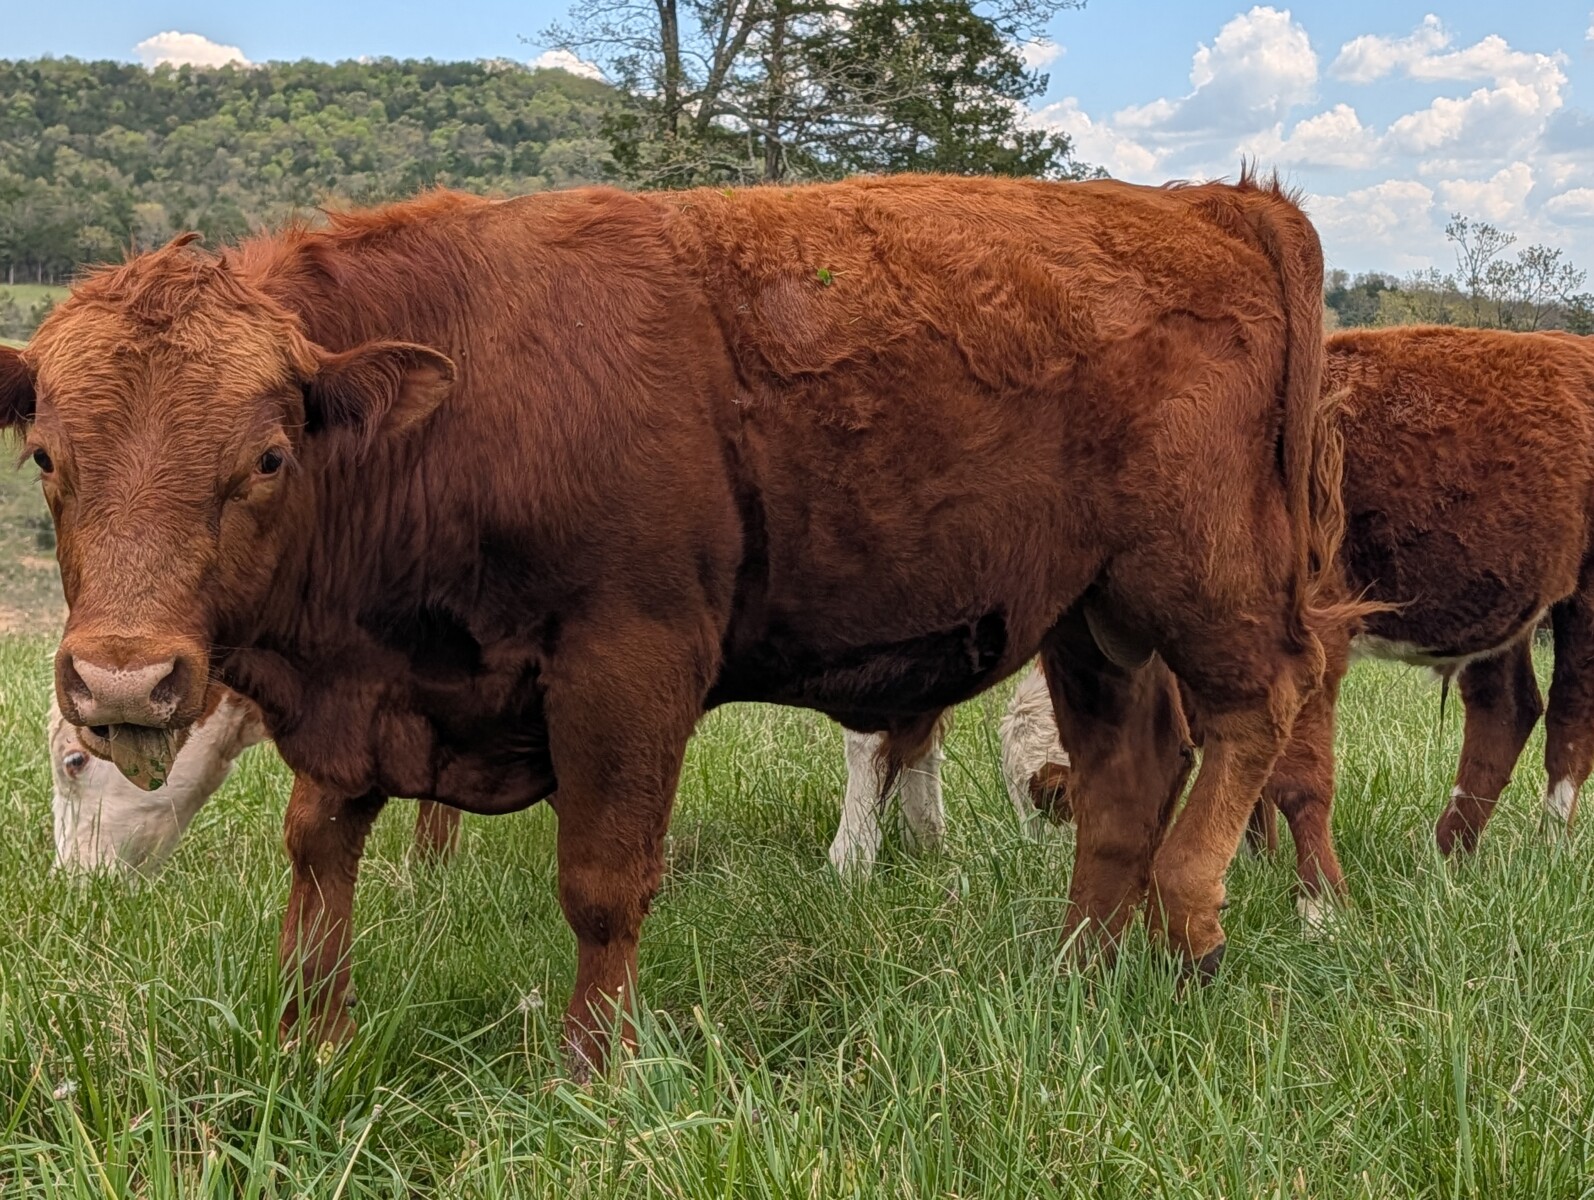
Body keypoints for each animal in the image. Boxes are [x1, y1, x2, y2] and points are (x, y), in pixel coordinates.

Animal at [0, 172, 1351, 1070]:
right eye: (48, 455)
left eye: (269, 457)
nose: (123, 686)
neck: (462, 399)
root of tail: (1209, 204)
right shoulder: (363, 696)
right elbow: (318, 862)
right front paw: (312, 1048)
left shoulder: (628, 670)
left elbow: (603, 883)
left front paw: (592, 1072)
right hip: (1090, 616)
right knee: (1126, 780)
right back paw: (1078, 977)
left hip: (1198, 579)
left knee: (1257, 710)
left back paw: (1192, 923)